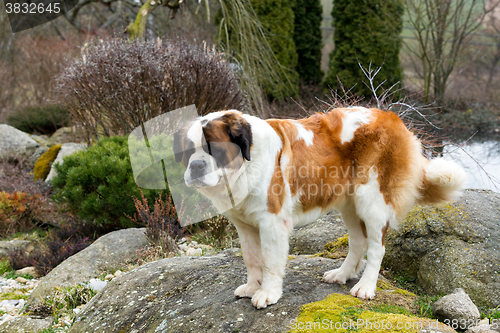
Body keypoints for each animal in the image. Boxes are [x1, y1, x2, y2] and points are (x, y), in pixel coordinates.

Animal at [172, 107, 464, 308]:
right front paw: (252, 287)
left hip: (372, 201)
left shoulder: (271, 222)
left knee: (376, 247)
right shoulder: (244, 225)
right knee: (358, 242)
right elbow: (252, 259)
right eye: (188, 152)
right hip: (349, 204)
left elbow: (269, 261)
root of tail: (392, 118)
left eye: (215, 149)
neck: (246, 163)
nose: (196, 166)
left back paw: (366, 287)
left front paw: (267, 293)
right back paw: (342, 274)